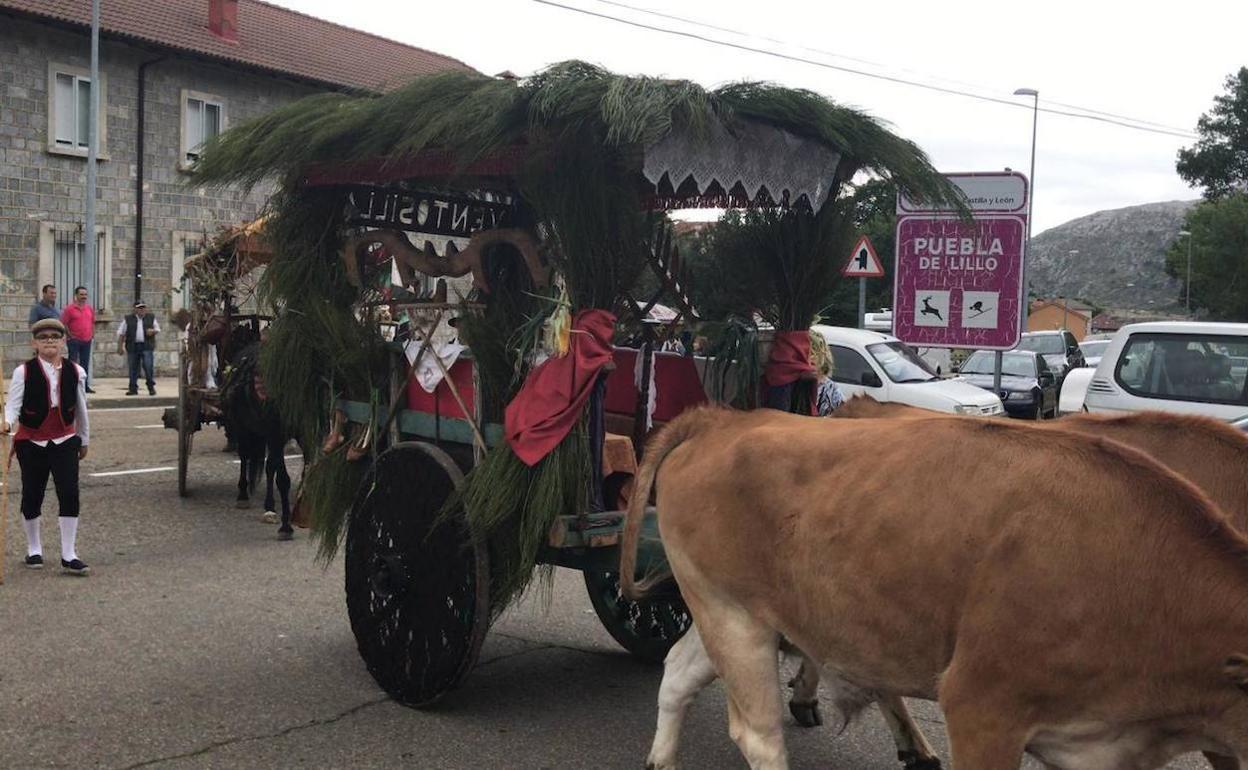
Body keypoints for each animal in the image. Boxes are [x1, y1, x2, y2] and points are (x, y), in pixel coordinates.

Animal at [220, 341, 295, 541]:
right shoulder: (275, 431)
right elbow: (283, 479)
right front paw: (286, 526)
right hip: (242, 426)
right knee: (244, 456)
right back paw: (243, 495)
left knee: (269, 466)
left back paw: (269, 506)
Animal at [624, 404, 1248, 763]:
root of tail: (726, 417)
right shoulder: (982, 706)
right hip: (732, 613)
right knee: (759, 734)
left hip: (731, 610)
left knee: (677, 673)